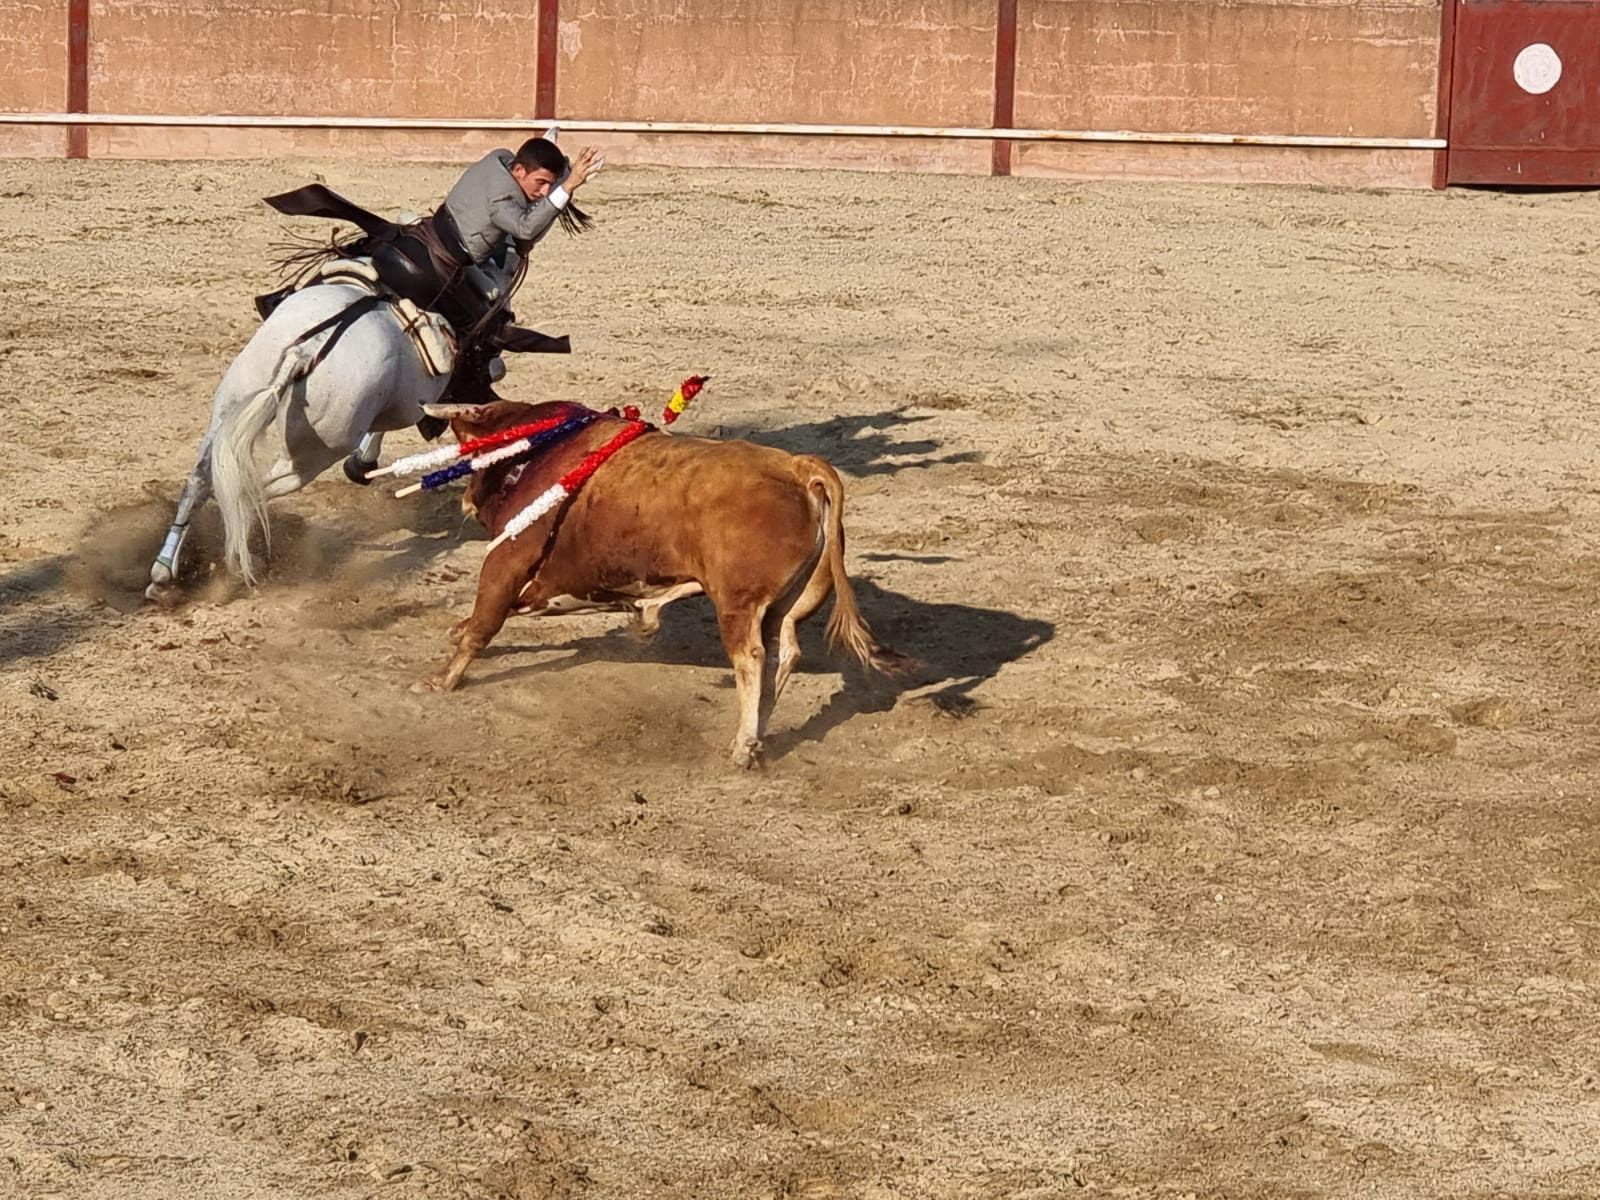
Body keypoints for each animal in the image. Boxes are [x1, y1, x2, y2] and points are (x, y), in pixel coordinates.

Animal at [148, 283, 457, 601]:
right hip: (311, 459)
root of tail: (305, 351)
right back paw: (240, 566)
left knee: (200, 482)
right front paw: (363, 463)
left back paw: (164, 575)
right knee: (251, 494)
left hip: (228, 410)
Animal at [412, 400, 915, 764]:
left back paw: (742, 747)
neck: (537, 454)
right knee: (783, 654)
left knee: (751, 659)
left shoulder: (507, 560)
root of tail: (797, 467)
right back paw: (758, 735)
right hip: (790, 603)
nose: (465, 503)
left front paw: (441, 680)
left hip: (738, 603)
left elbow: (484, 621)